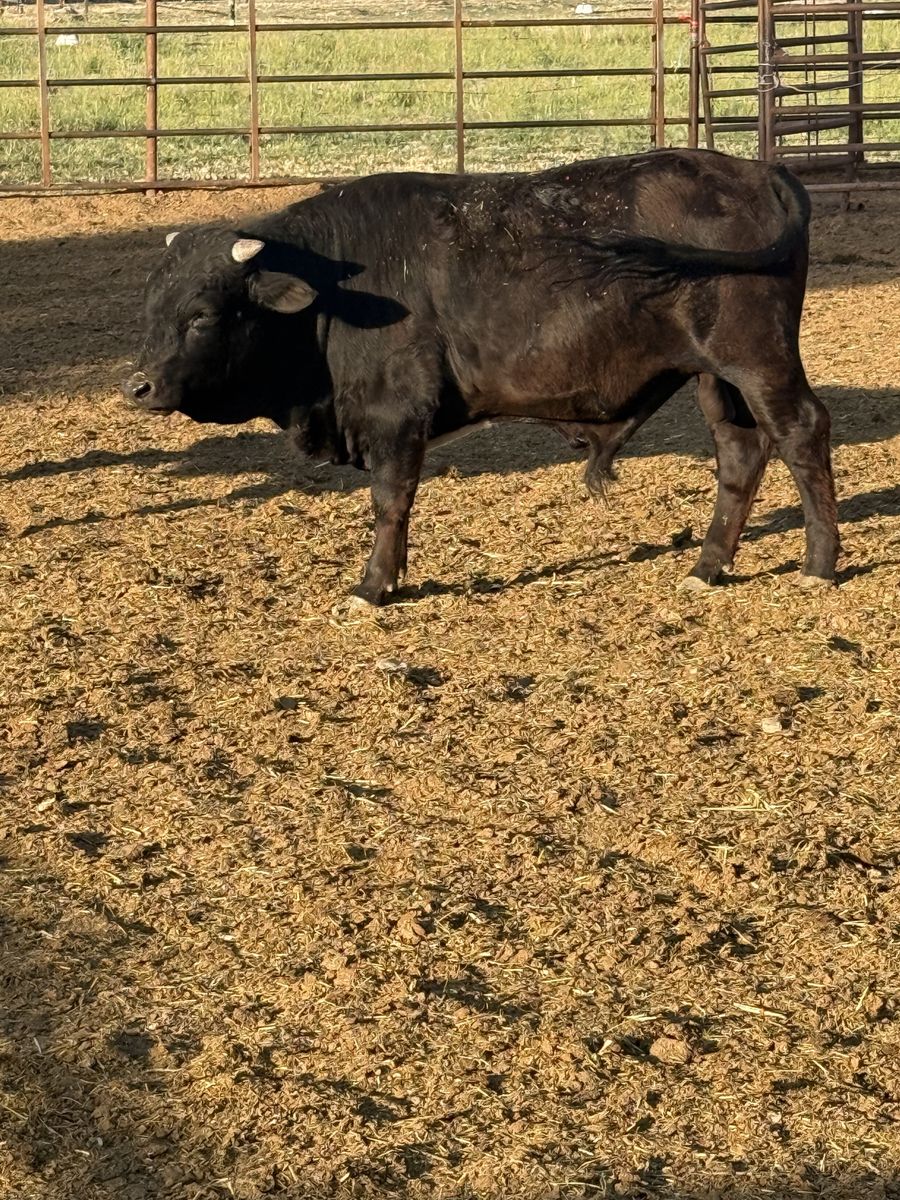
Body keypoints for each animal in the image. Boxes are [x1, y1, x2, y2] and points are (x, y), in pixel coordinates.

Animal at [123, 148, 839, 607]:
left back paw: (819, 565)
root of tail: (759, 170)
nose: (139, 387)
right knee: (740, 452)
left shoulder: (395, 417)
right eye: (152, 305)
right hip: (717, 378)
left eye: (202, 314)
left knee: (801, 432)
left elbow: (390, 502)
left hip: (758, 358)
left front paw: (374, 585)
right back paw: (709, 566)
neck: (337, 291)